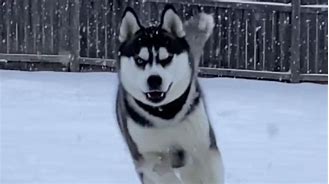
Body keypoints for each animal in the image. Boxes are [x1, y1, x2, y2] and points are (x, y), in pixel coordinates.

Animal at [115, 4, 223, 184]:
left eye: (166, 58)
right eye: (139, 60)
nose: (154, 80)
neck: (165, 114)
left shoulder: (203, 148)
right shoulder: (146, 156)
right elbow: (161, 171)